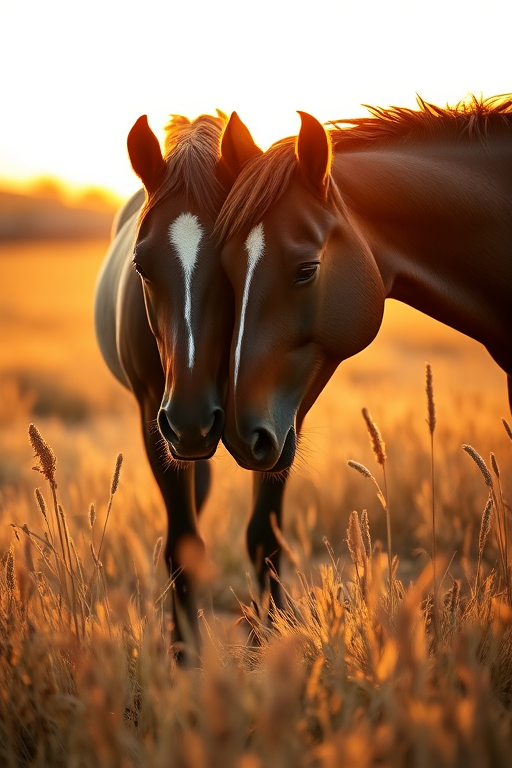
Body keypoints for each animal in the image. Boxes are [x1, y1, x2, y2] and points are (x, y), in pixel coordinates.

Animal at [95, 110, 288, 656]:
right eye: (141, 264)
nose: (190, 421)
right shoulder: (153, 420)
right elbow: (183, 543)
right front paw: (185, 655)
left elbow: (265, 537)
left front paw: (271, 642)